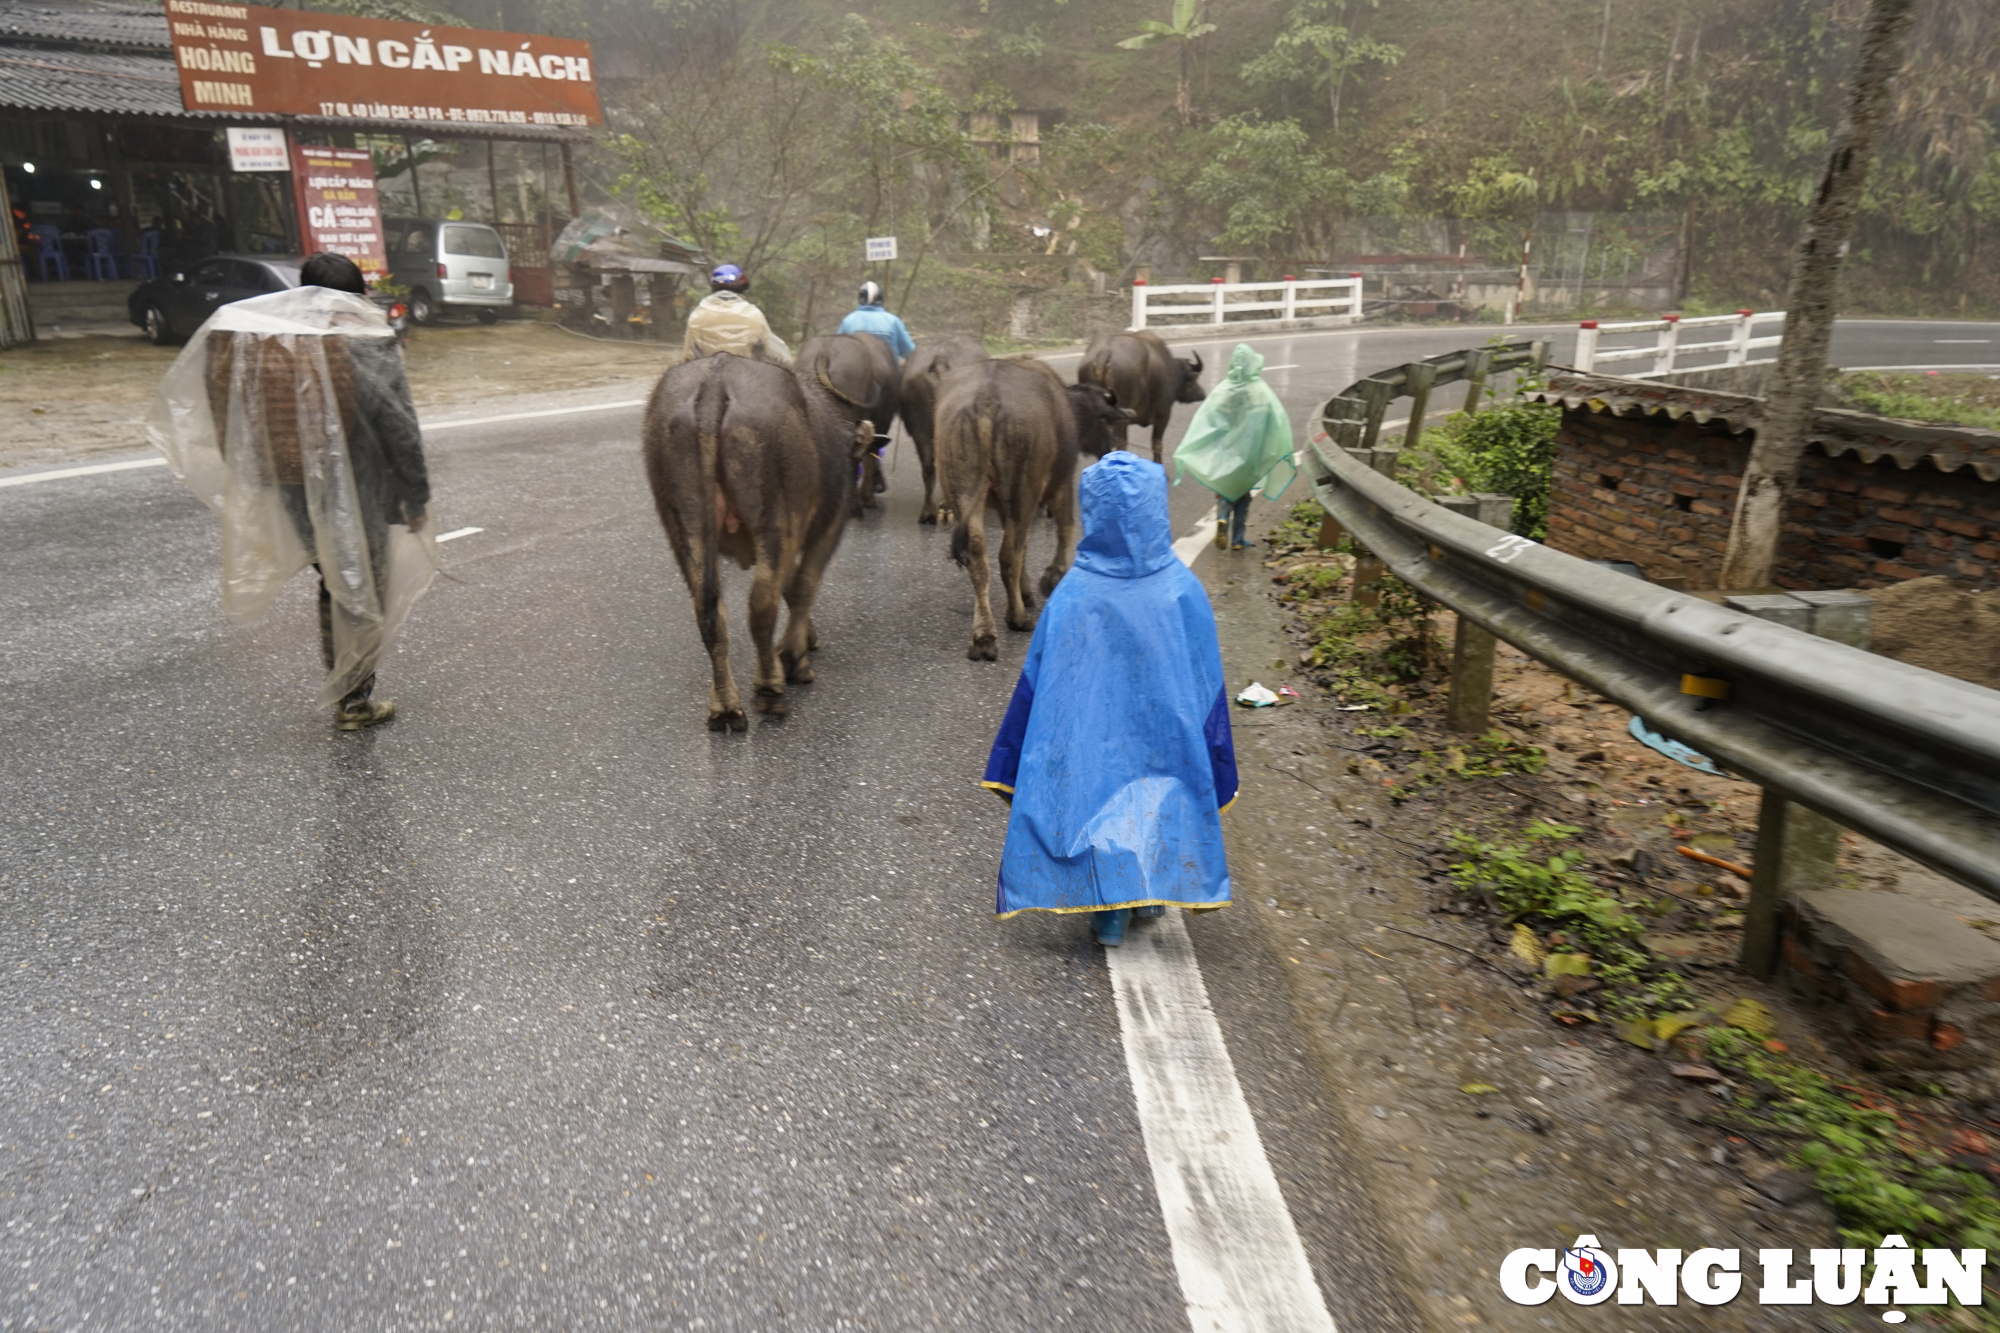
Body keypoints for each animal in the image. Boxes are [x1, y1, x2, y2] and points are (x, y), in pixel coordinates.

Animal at [644, 352, 872, 728]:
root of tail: (714, 382)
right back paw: (770, 688)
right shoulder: (829, 527)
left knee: (709, 610)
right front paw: (795, 658)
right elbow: (802, 586)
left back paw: (725, 706)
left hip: (684, 522)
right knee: (762, 603)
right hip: (775, 517)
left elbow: (790, 586)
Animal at [932, 358, 1136, 660]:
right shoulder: (1061, 484)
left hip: (965, 494)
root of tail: (986, 399)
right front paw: (1052, 577)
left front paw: (1026, 591)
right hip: (1022, 493)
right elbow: (1065, 527)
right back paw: (1016, 618)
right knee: (1007, 555)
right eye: (1104, 419)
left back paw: (984, 636)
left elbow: (1025, 548)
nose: (1112, 448)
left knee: (980, 556)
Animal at [1080, 326, 1200, 462]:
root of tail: (1104, 353)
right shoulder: (1163, 415)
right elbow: (1157, 444)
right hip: (1120, 419)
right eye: (1193, 380)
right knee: (1120, 444)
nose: (1202, 394)